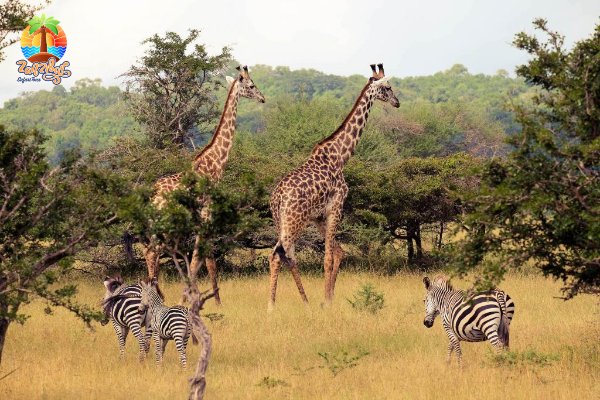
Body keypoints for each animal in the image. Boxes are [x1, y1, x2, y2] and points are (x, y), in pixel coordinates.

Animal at [143, 65, 264, 304]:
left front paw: (196, 296)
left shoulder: (200, 218)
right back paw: (157, 296)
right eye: (251, 85)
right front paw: (210, 300)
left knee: (150, 252)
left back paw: (157, 295)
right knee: (152, 252)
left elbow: (198, 259)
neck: (216, 161)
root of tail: (153, 195)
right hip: (166, 224)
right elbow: (205, 259)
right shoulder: (208, 211)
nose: (263, 98)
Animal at [268, 64, 398, 310]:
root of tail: (277, 198)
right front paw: (327, 302)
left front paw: (327, 298)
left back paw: (298, 302)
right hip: (294, 221)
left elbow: (338, 252)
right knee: (279, 254)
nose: (397, 102)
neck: (341, 156)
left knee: (285, 255)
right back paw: (278, 305)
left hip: (281, 221)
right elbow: (328, 257)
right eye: (387, 87)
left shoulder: (319, 216)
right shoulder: (336, 206)